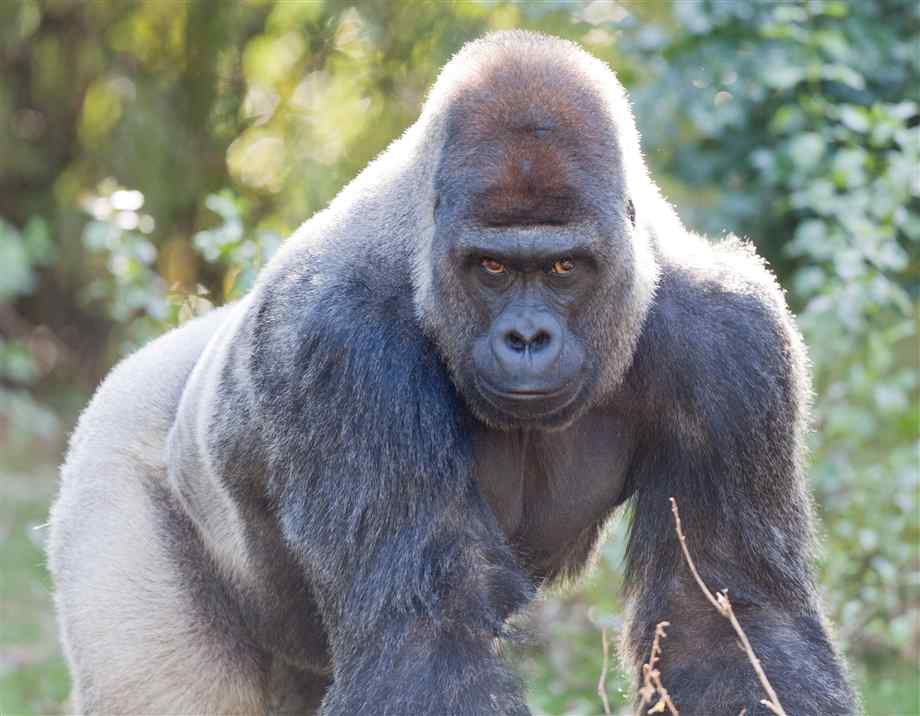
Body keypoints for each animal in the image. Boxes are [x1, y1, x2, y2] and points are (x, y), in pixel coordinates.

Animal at [48, 31, 855, 715]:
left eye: (563, 268)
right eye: (492, 268)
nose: (526, 337)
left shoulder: (735, 344)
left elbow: (728, 621)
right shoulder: (342, 348)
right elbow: (426, 639)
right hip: (112, 461)